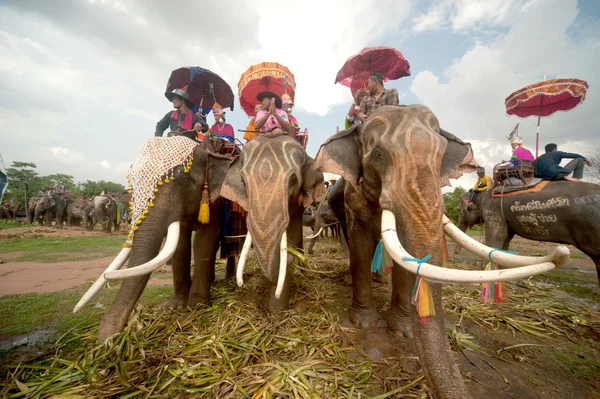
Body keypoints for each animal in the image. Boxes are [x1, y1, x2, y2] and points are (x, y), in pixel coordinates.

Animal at [75, 136, 234, 342]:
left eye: (185, 180)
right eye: (133, 186)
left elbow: (204, 241)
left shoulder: (215, 202)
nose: (108, 340)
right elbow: (180, 245)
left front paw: (197, 307)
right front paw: (174, 306)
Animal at [314, 106, 572, 399]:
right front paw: (364, 323)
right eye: (378, 154)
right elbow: (360, 242)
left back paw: (381, 279)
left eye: (440, 156)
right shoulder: (353, 197)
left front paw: (403, 331)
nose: (561, 250)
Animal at [454, 181, 600, 282]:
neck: (484, 191)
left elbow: (497, 235)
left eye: (459, 211)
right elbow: (507, 237)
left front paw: (488, 270)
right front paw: (502, 269)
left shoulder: (492, 208)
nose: (455, 253)